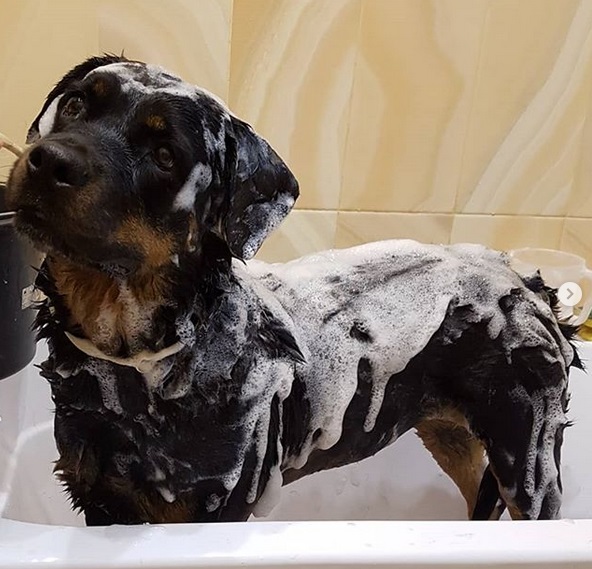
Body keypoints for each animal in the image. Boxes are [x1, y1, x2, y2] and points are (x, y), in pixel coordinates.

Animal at [4, 56, 580, 524]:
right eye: (76, 103)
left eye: (165, 155)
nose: (48, 160)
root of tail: (530, 285)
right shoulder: (100, 500)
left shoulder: (214, 509)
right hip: (449, 433)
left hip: (528, 451)